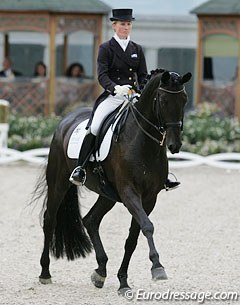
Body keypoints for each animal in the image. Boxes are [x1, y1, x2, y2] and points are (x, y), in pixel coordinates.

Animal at [33, 68, 191, 292]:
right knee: (49, 220)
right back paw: (45, 273)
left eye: (184, 100)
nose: (174, 145)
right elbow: (147, 226)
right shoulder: (129, 192)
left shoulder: (149, 198)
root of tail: (66, 119)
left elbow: (133, 238)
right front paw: (157, 267)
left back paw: (100, 272)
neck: (143, 142)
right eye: (163, 100)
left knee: (90, 220)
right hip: (58, 182)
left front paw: (123, 281)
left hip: (107, 194)